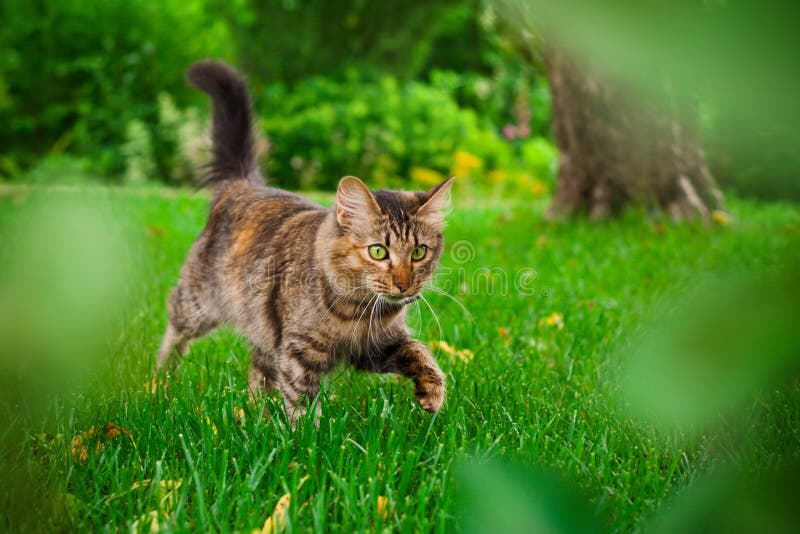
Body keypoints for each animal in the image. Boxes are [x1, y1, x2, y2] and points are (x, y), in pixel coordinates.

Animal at [156, 59, 454, 428]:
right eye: (378, 251)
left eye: (418, 252)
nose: (403, 284)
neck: (355, 311)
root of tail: (241, 184)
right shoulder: (298, 352)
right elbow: (303, 401)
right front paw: (309, 436)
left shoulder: (375, 347)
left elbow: (420, 353)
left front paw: (432, 393)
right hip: (198, 304)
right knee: (174, 327)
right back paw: (161, 382)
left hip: (261, 326)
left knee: (258, 368)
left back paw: (257, 414)